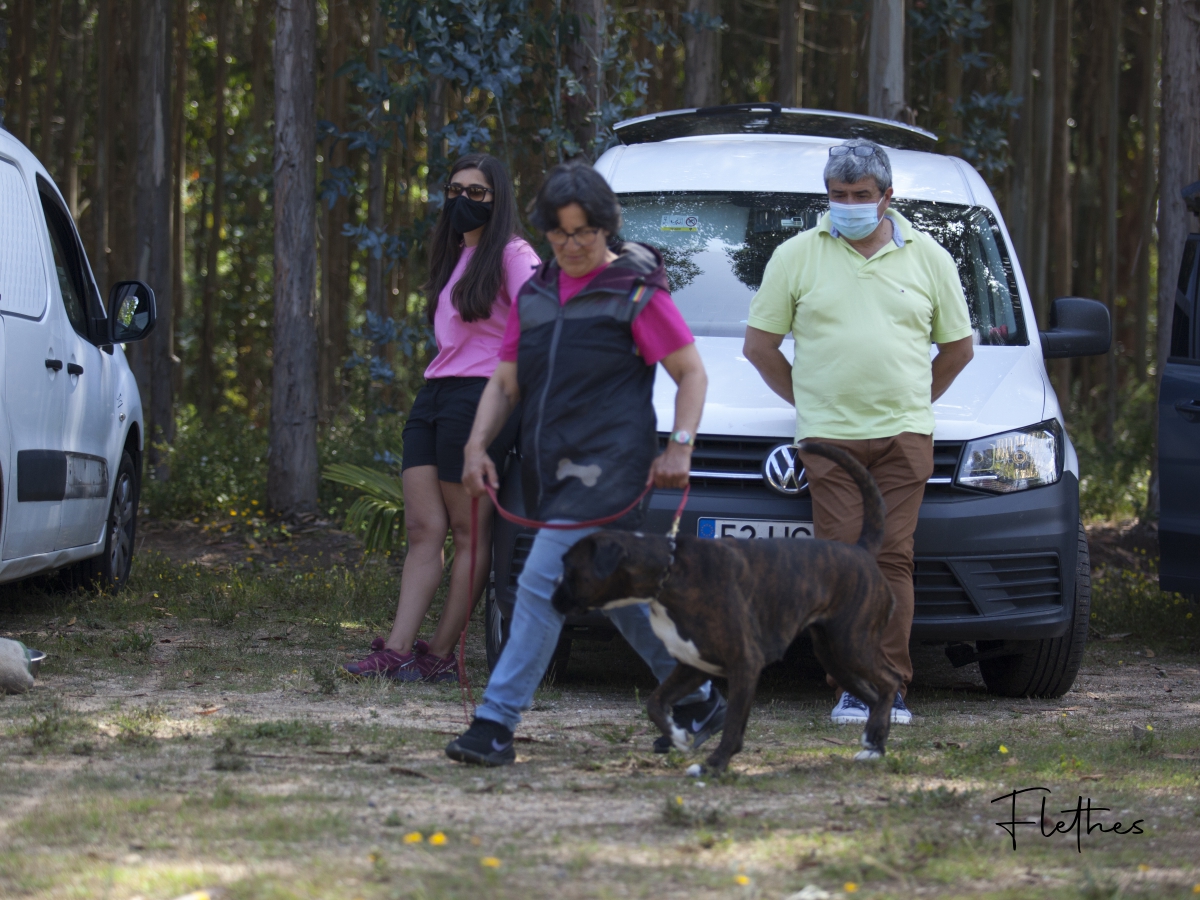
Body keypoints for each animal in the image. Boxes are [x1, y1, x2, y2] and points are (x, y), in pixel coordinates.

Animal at [551, 440, 900, 774]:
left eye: (570, 568)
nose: (552, 595)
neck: (668, 573)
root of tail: (860, 551)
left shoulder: (744, 664)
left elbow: (732, 726)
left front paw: (714, 766)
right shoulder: (693, 665)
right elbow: (655, 702)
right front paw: (678, 737)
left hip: (852, 644)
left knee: (890, 681)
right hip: (835, 656)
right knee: (875, 693)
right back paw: (874, 746)